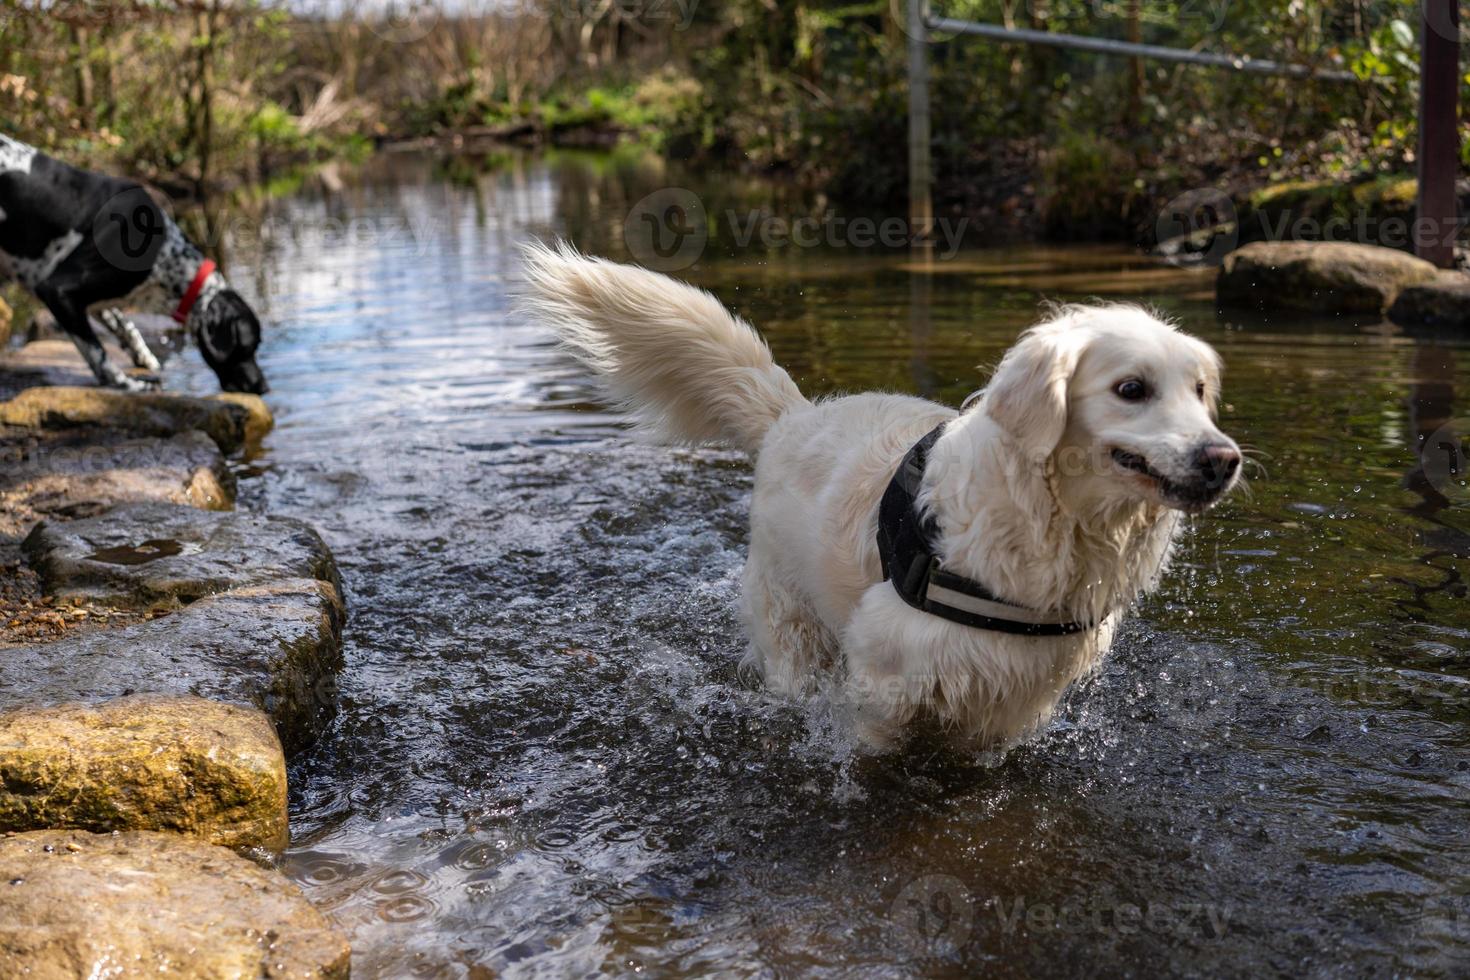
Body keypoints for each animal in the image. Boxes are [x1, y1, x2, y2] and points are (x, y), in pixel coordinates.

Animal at [0, 134, 269, 393]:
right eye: (248, 346)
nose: (263, 387)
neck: (166, 254)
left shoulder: (97, 299)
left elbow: (125, 326)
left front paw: (146, 359)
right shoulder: (57, 290)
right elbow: (99, 355)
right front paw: (128, 384)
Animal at [523, 243, 1234, 752]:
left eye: (1199, 390)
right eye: (1131, 388)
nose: (1223, 461)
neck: (1050, 518)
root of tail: (792, 415)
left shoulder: (1015, 697)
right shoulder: (886, 677)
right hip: (791, 628)